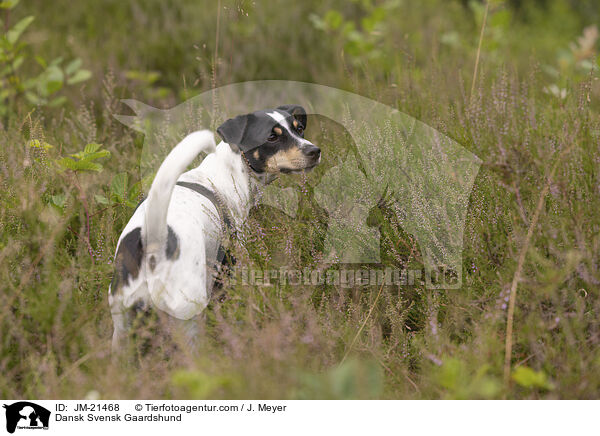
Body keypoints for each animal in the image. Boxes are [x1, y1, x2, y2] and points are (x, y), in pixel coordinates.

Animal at [109, 103, 322, 350]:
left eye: (299, 129)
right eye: (271, 137)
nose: (315, 151)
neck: (227, 174)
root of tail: (154, 242)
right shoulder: (228, 267)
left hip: (122, 325)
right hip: (187, 318)